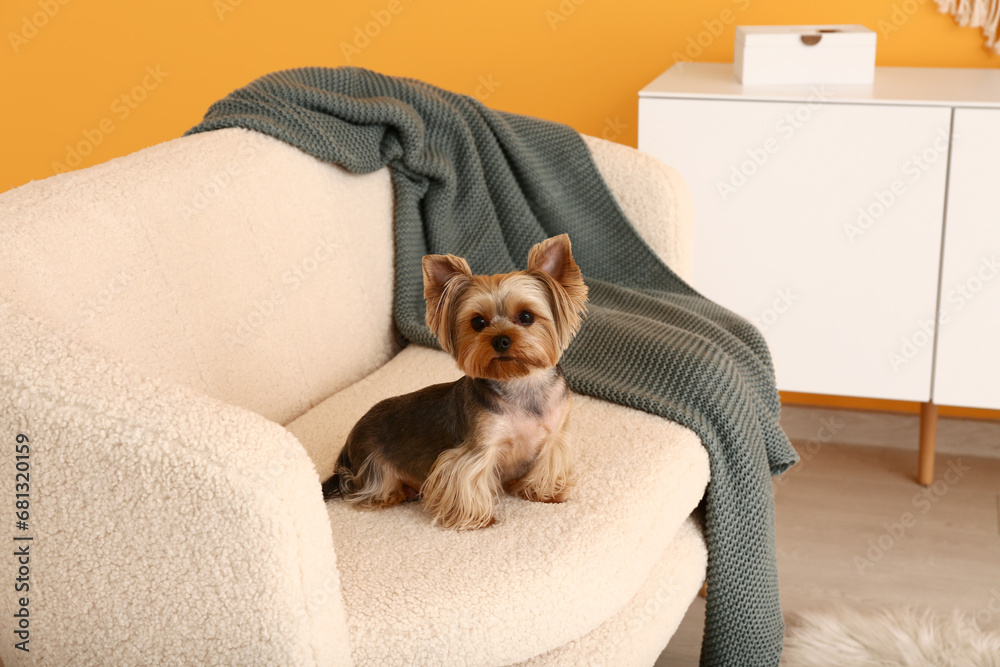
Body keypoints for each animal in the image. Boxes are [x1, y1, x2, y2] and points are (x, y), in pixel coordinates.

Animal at [322, 235, 584, 532]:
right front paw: (478, 519)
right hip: (374, 466)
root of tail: (348, 443)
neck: (520, 384)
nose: (501, 340)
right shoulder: (477, 449)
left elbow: (548, 463)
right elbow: (469, 479)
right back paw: (399, 493)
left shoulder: (554, 434)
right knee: (374, 488)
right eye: (478, 322)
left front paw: (546, 492)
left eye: (527, 316)